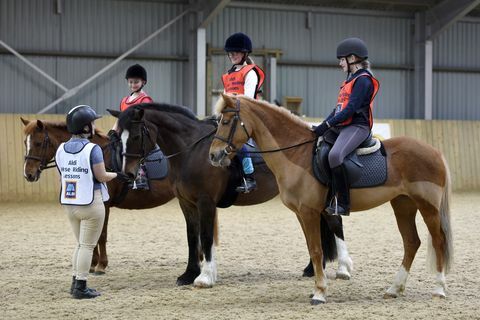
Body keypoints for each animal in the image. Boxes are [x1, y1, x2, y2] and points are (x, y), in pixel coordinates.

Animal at [21, 119, 174, 274]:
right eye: (25, 143)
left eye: (38, 143)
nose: (28, 174)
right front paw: (92, 264)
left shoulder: (104, 205)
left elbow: (101, 235)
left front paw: (101, 265)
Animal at [208, 93, 452, 304]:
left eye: (227, 121)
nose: (213, 155)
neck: (297, 155)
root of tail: (434, 152)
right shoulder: (302, 214)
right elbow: (312, 249)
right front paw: (318, 287)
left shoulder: (309, 212)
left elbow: (317, 251)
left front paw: (319, 292)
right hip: (403, 205)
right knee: (411, 242)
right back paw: (394, 288)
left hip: (428, 207)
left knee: (438, 240)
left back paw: (439, 289)